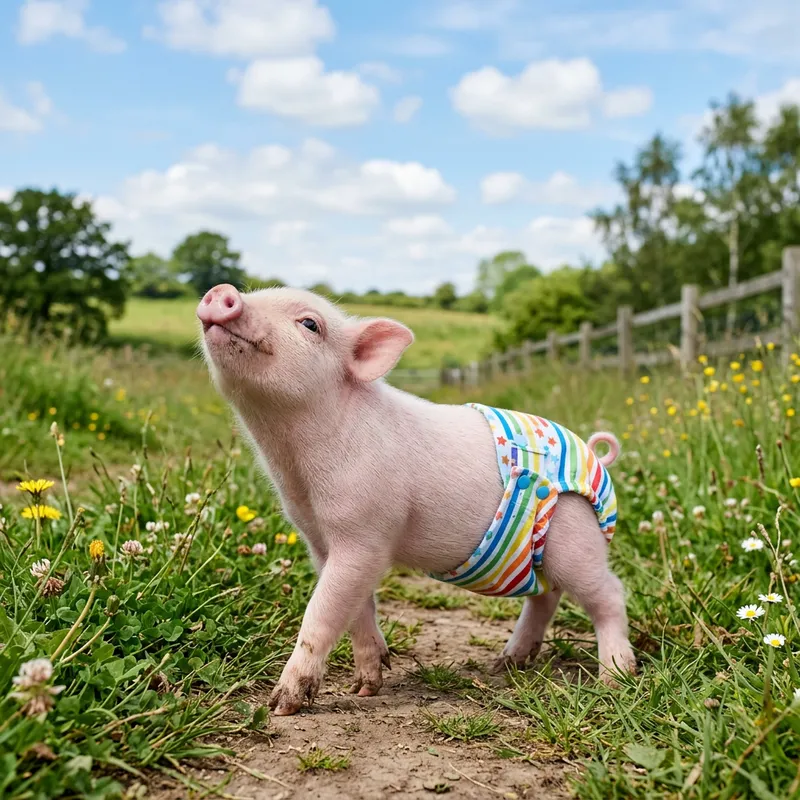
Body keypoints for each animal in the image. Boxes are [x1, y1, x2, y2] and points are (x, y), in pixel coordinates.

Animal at [197, 284, 636, 716]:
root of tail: (597, 457)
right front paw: (365, 688)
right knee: (546, 596)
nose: (221, 291)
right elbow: (356, 610)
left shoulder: (365, 528)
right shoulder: (317, 537)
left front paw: (282, 705)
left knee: (609, 594)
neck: (293, 462)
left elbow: (322, 610)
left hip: (575, 536)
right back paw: (506, 663)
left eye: (310, 324)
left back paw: (614, 679)